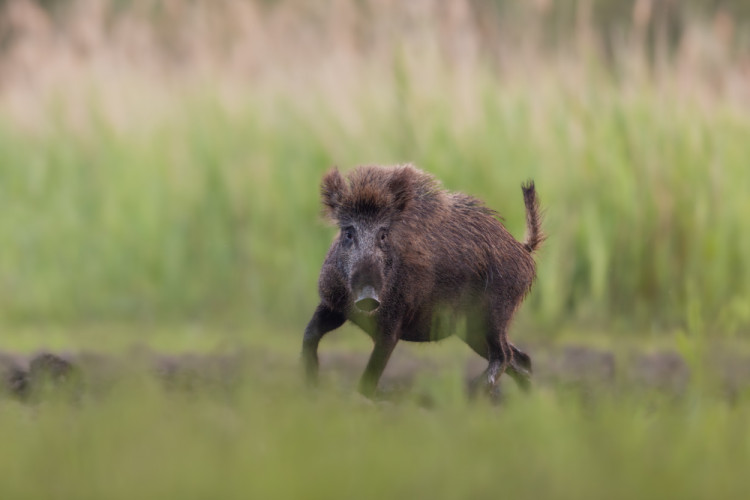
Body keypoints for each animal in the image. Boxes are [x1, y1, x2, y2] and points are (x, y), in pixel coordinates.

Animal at [302, 164, 544, 398]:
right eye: (348, 233)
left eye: (383, 235)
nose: (367, 296)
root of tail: (522, 248)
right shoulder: (333, 305)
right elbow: (310, 333)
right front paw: (310, 382)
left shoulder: (393, 324)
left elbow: (371, 375)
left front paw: (361, 397)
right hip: (471, 330)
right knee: (521, 359)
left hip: (496, 312)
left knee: (504, 354)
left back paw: (475, 393)